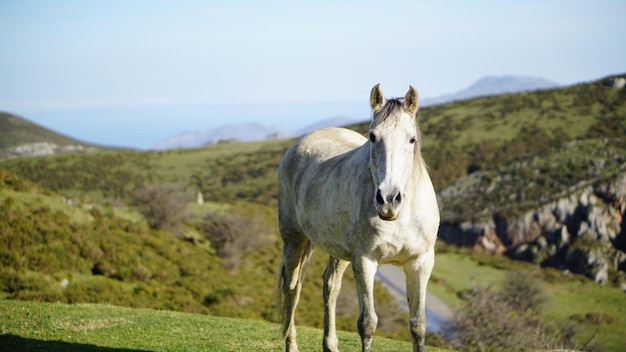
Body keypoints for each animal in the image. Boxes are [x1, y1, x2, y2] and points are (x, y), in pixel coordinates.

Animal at [278, 84, 438, 350]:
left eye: (411, 139)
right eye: (373, 137)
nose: (388, 199)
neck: (400, 218)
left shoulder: (420, 263)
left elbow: (418, 325)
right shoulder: (365, 261)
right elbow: (367, 324)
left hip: (339, 252)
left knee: (330, 287)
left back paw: (330, 345)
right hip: (294, 240)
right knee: (292, 287)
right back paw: (291, 344)